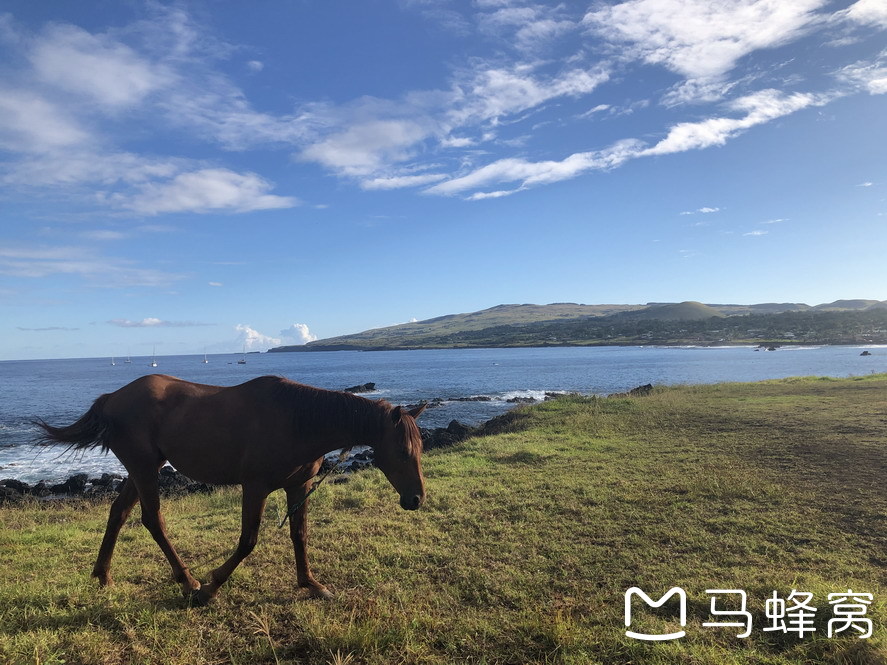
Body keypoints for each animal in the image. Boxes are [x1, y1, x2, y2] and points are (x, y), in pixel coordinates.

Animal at [31, 376, 426, 604]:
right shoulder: (256, 487)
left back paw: (103, 576)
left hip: (144, 468)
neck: (298, 420)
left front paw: (310, 584)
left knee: (119, 513)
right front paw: (212, 586)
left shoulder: (298, 486)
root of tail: (113, 397)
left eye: (419, 448)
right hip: (143, 469)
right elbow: (248, 541)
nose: (416, 499)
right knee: (153, 519)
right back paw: (188, 581)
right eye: (402, 450)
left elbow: (299, 535)